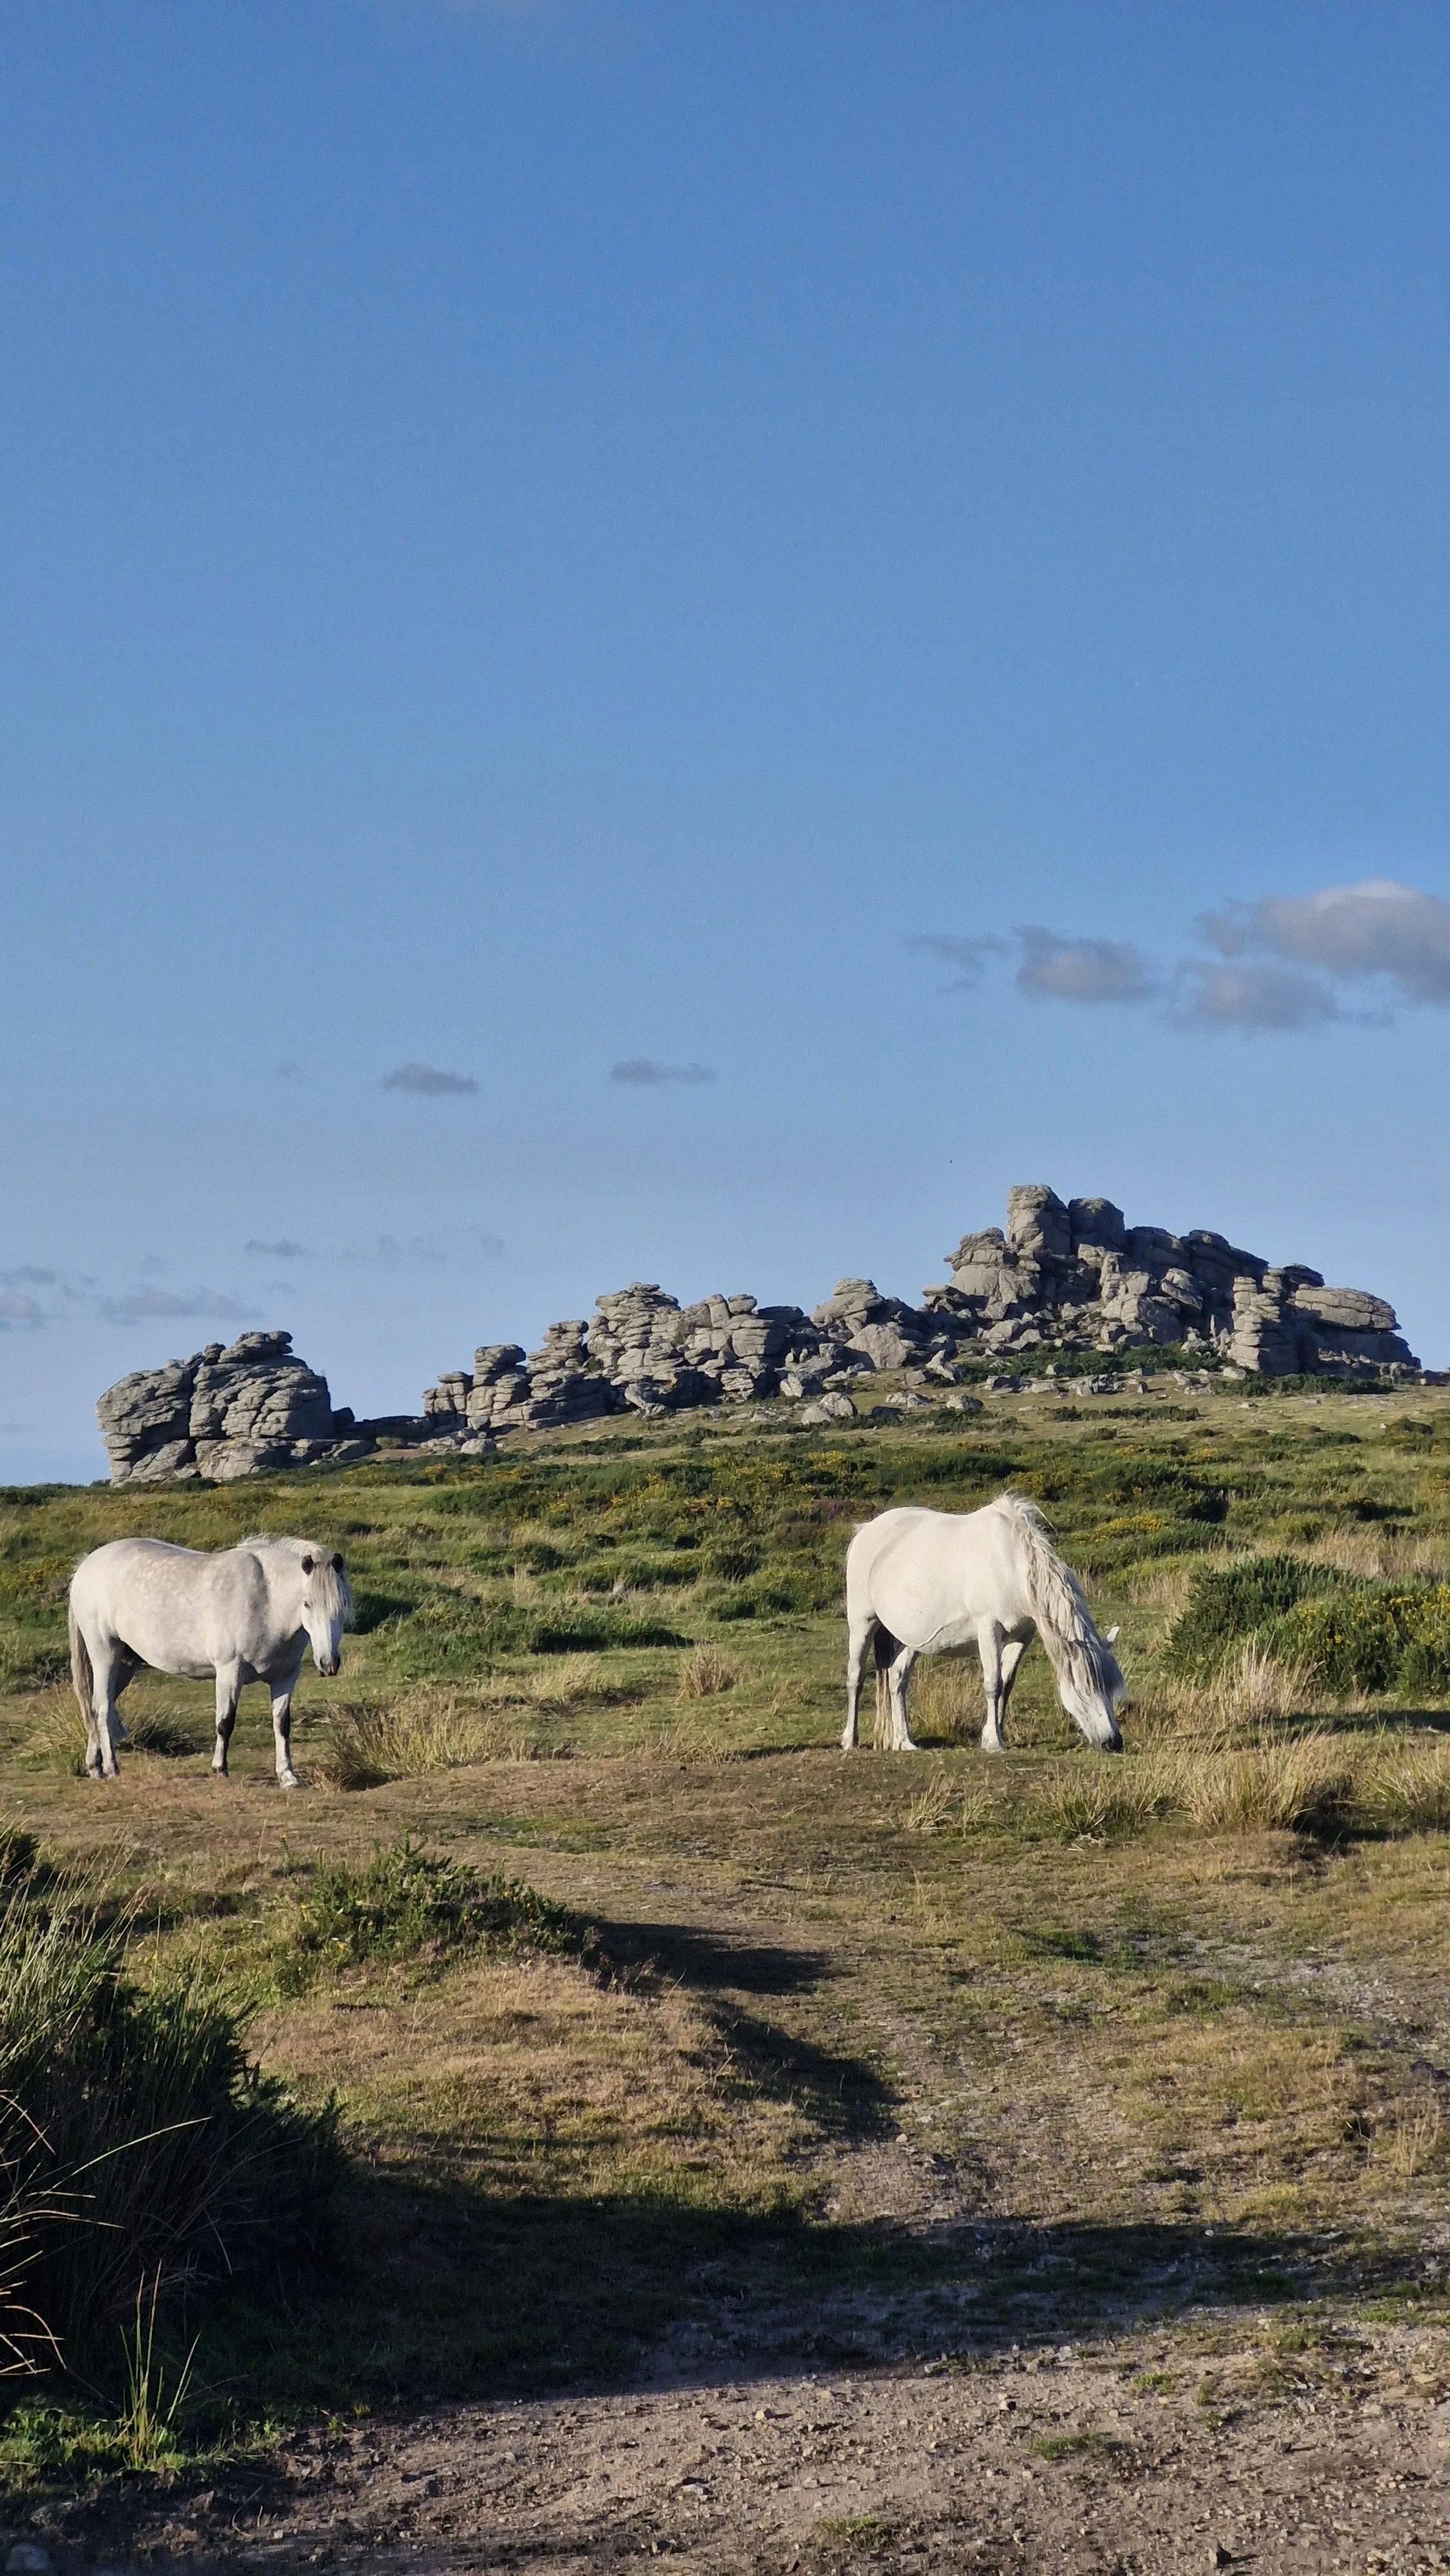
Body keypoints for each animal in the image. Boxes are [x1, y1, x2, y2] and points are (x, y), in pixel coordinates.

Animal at [68, 1535, 353, 1787]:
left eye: (341, 1606)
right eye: (307, 1604)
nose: (329, 1664)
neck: (266, 1601)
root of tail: (86, 1565)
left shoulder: (285, 1677)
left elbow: (282, 1724)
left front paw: (288, 1776)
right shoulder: (229, 1671)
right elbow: (225, 1722)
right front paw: (220, 1769)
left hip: (126, 1664)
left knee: (96, 1707)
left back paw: (95, 1767)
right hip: (105, 1656)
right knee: (103, 1708)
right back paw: (112, 1768)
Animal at [841, 1493, 1123, 1754]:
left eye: (1112, 1688)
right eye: (1085, 1688)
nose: (1113, 1742)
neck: (1011, 1565)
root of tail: (866, 1530)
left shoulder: (1023, 1636)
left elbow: (1006, 1685)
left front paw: (996, 1733)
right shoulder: (988, 1629)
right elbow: (993, 1683)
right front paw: (994, 1742)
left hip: (910, 1638)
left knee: (897, 1679)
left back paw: (904, 1742)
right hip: (862, 1623)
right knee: (856, 1677)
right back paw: (850, 1740)